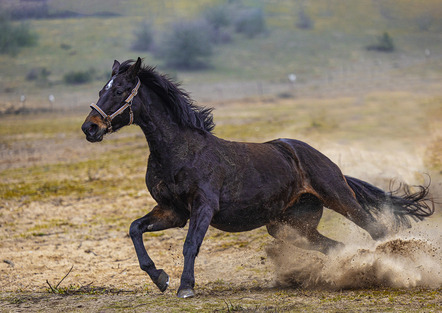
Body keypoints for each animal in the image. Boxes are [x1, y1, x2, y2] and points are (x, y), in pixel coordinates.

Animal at [81, 58, 434, 298]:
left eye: (120, 90)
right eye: (101, 90)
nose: (90, 128)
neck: (179, 150)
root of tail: (321, 158)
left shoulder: (203, 206)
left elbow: (190, 244)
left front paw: (185, 287)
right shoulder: (173, 211)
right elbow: (135, 229)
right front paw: (159, 278)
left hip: (339, 198)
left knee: (378, 229)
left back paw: (399, 268)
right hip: (288, 225)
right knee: (333, 246)